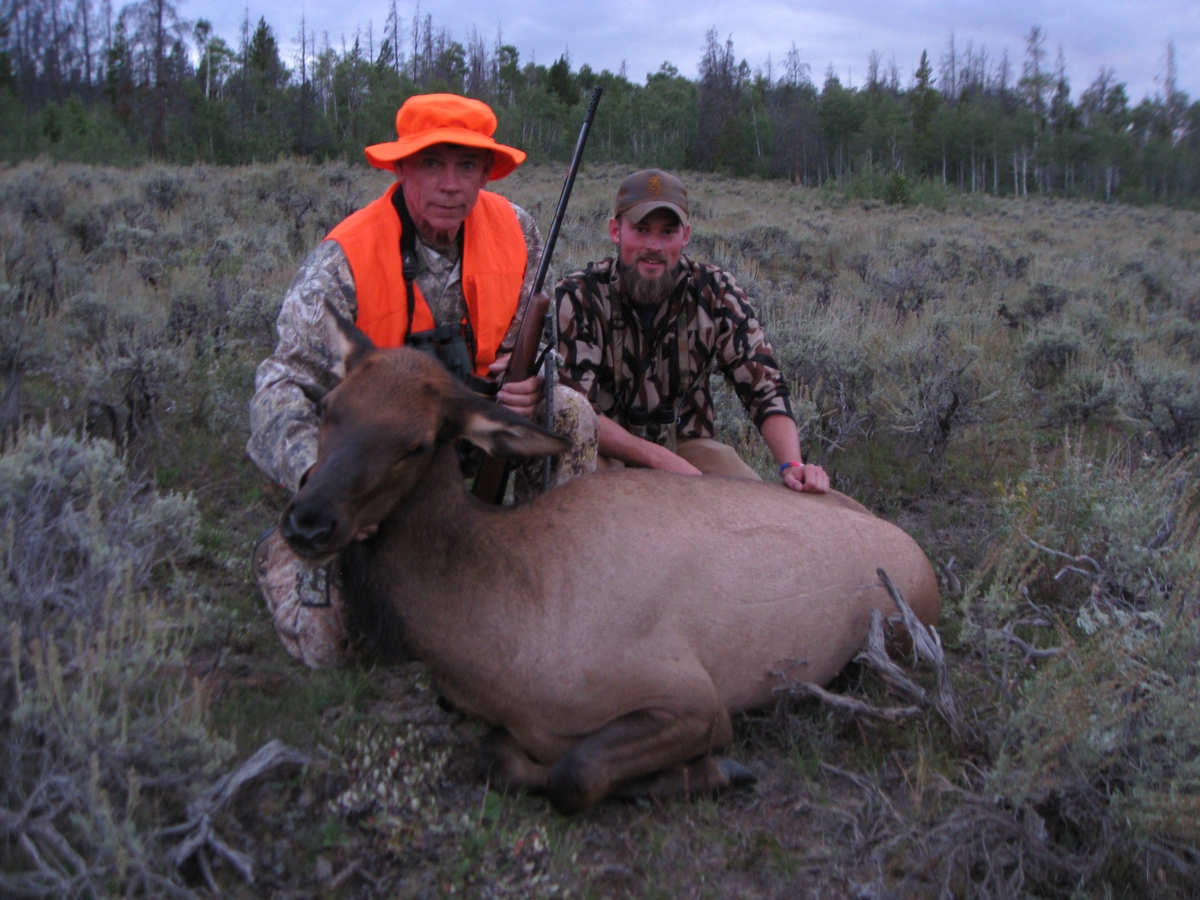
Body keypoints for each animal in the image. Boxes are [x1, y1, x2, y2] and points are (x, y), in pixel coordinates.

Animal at [280, 306, 941, 813]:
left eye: (416, 444)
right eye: (330, 405)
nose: (307, 522)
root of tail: (923, 558)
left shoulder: (692, 697)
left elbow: (575, 773)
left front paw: (717, 772)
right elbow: (496, 756)